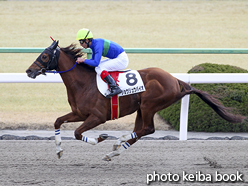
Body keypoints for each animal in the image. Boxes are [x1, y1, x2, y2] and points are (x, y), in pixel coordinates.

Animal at [25, 41, 246, 161]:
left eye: (44, 56)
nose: (29, 71)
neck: (83, 83)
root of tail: (176, 80)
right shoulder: (79, 113)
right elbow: (57, 122)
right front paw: (59, 151)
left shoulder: (97, 117)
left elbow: (78, 133)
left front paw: (101, 137)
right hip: (141, 108)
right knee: (140, 131)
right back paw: (113, 152)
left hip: (150, 105)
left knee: (147, 129)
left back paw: (116, 142)